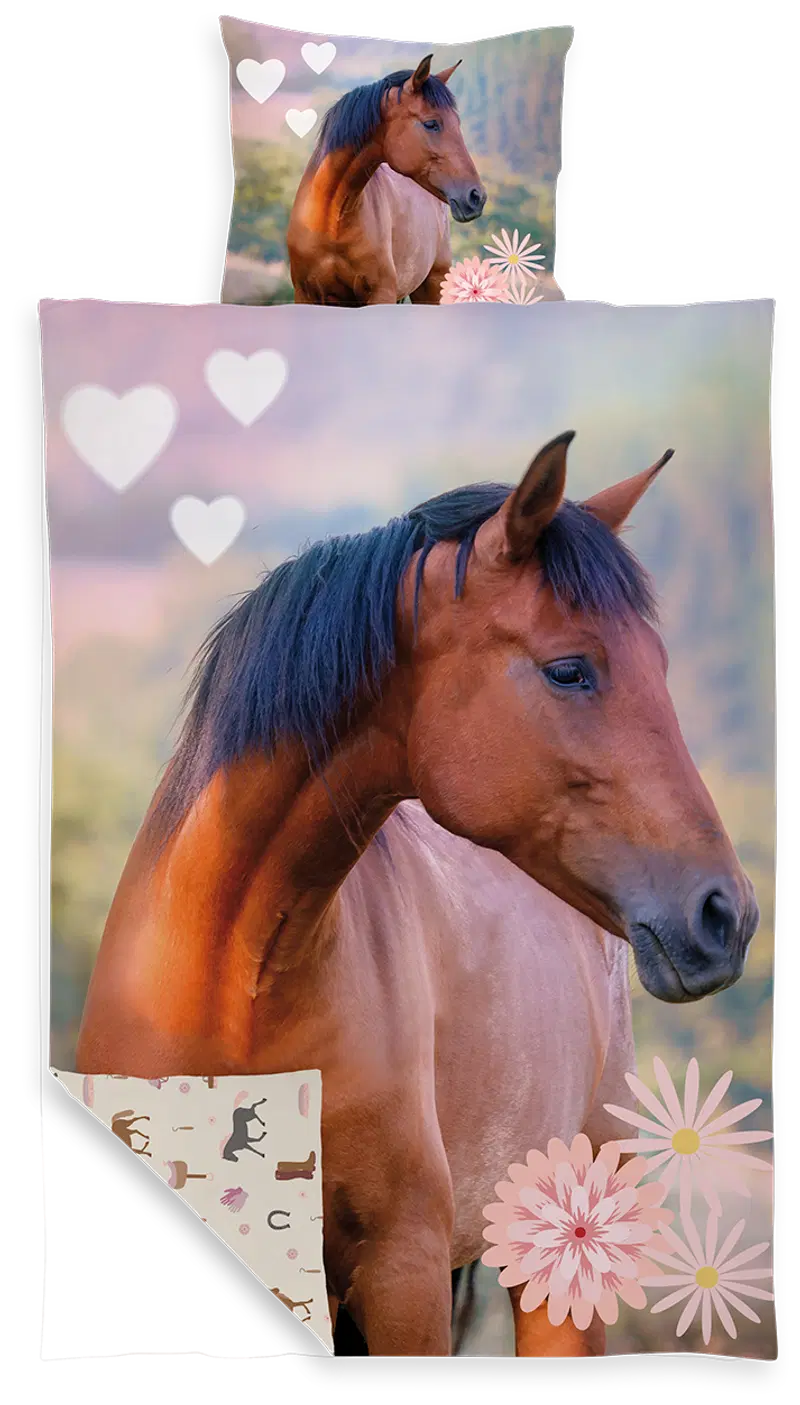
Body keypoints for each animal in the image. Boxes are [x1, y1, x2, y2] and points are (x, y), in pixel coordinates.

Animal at [287, 55, 486, 306]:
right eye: (431, 124)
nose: (476, 196)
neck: (331, 220)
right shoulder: (304, 295)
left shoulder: (381, 294)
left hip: (431, 287)